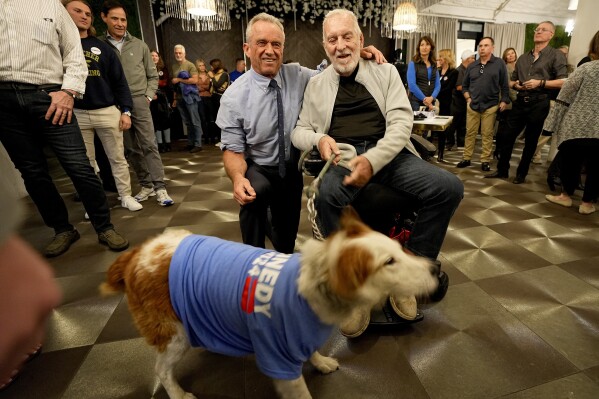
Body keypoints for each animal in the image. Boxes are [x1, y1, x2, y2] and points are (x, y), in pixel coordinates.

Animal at [101, 208, 438, 398]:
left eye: (398, 248)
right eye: (389, 262)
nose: (436, 269)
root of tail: (136, 255)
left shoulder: (301, 339)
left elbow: (313, 352)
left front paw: (321, 362)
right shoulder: (280, 364)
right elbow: (301, 394)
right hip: (173, 334)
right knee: (161, 370)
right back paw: (178, 394)